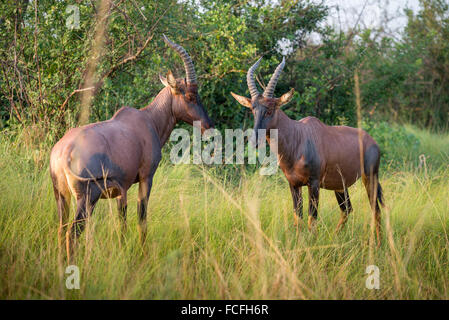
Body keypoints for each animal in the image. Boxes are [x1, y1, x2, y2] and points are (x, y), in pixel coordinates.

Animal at [50, 35, 213, 260]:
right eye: (189, 96)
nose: (208, 126)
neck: (147, 120)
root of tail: (62, 153)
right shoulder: (145, 178)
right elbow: (141, 217)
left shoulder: (121, 189)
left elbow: (122, 223)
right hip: (86, 198)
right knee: (71, 233)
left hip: (61, 196)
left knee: (60, 230)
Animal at [233, 57, 384, 245]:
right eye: (253, 109)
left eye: (270, 109)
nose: (254, 141)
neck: (298, 137)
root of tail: (373, 142)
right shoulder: (293, 184)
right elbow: (298, 218)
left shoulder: (314, 183)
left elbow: (312, 219)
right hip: (340, 186)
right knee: (348, 209)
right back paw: (334, 238)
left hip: (370, 177)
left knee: (375, 209)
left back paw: (378, 244)